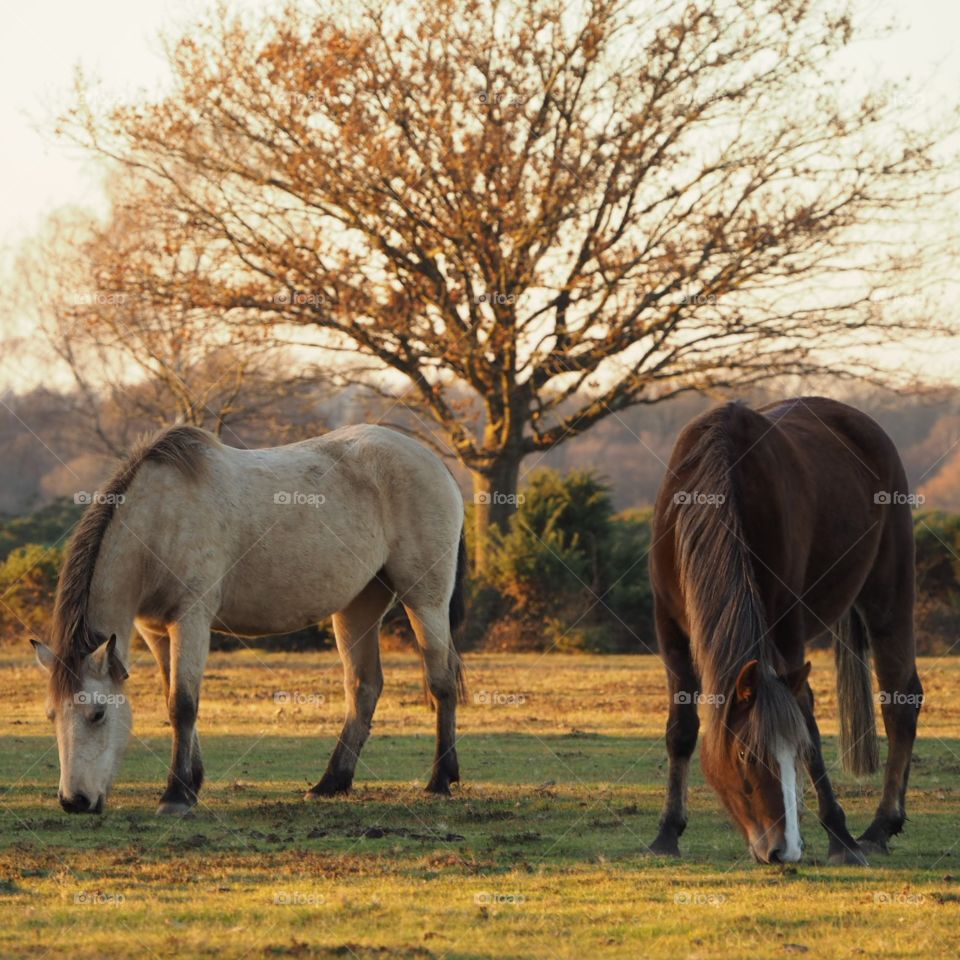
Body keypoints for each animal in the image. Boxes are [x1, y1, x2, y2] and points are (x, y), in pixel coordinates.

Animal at [32, 423, 467, 815]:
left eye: (98, 713)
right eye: (52, 715)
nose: (74, 802)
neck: (160, 518)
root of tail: (432, 460)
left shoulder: (190, 619)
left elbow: (182, 704)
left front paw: (176, 796)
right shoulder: (155, 630)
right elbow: (175, 698)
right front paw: (192, 783)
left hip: (425, 599)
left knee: (441, 681)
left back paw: (439, 780)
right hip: (358, 606)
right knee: (364, 687)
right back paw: (331, 783)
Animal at [648, 397, 922, 864]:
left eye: (793, 754)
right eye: (745, 754)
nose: (782, 849)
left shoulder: (788, 631)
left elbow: (807, 716)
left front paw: (840, 836)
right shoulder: (671, 633)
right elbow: (681, 728)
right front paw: (667, 832)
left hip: (889, 594)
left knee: (901, 701)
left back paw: (880, 826)